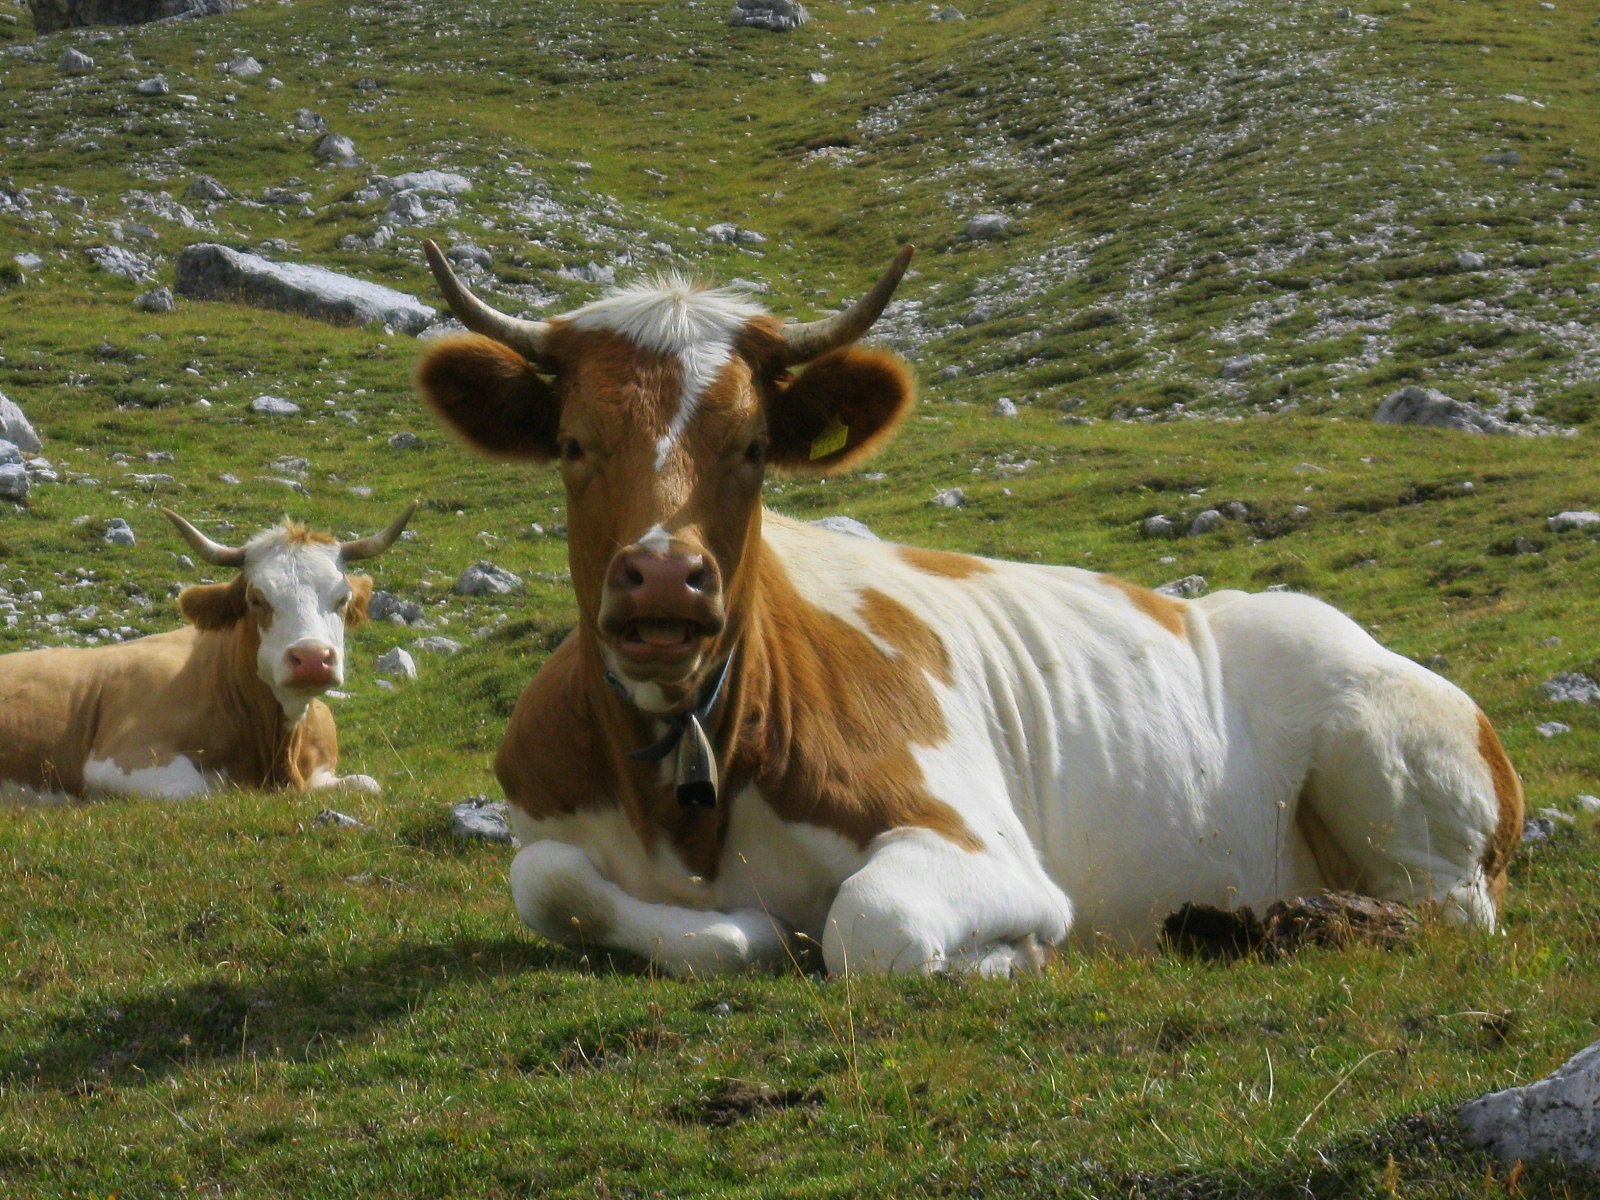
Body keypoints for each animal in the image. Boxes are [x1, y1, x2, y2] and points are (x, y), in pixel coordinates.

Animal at [1, 502, 412, 803]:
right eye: (256, 598)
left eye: (342, 598)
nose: (312, 658)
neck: (278, 758)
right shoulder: (118, 761)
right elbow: (204, 792)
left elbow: (368, 783)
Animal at [412, 241, 1523, 979]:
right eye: (572, 443)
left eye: (754, 445)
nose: (662, 579)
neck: (683, 788)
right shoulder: (544, 828)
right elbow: (549, 883)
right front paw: (745, 932)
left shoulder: (980, 844)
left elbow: (872, 929)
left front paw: (1003, 957)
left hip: (1392, 763)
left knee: (1444, 910)